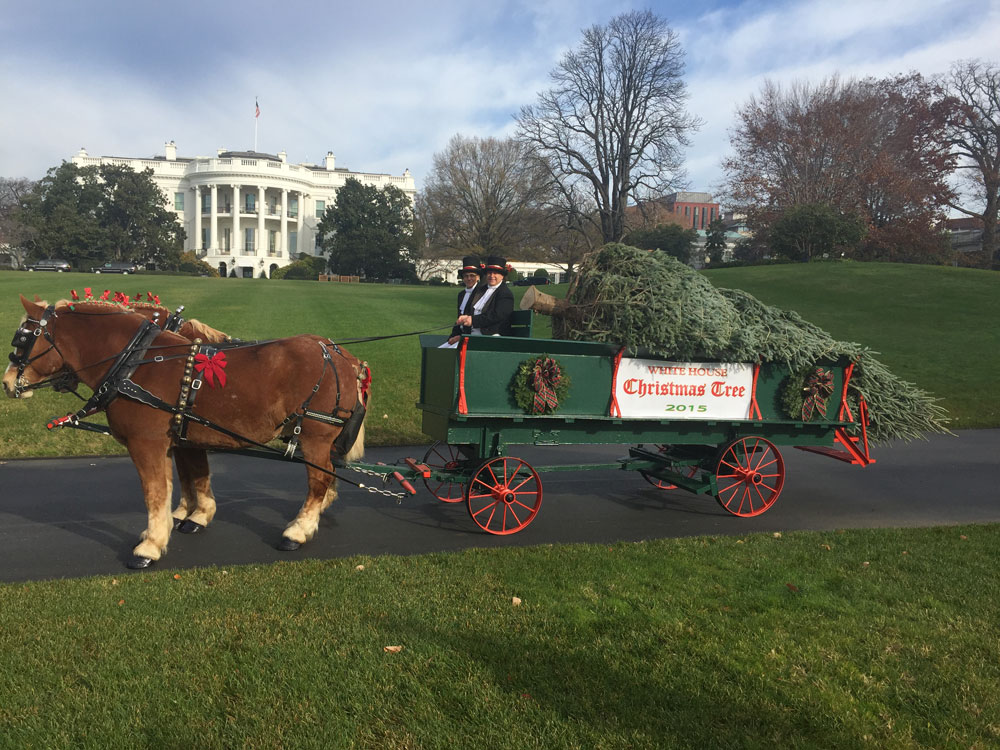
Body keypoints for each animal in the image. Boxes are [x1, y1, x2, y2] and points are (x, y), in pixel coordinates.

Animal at [3, 296, 368, 568]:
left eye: (22, 340)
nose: (7, 383)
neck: (135, 362)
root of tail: (341, 355)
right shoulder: (177, 439)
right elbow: (183, 479)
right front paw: (185, 518)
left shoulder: (147, 442)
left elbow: (156, 491)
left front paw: (151, 545)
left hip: (315, 435)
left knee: (319, 478)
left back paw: (298, 531)